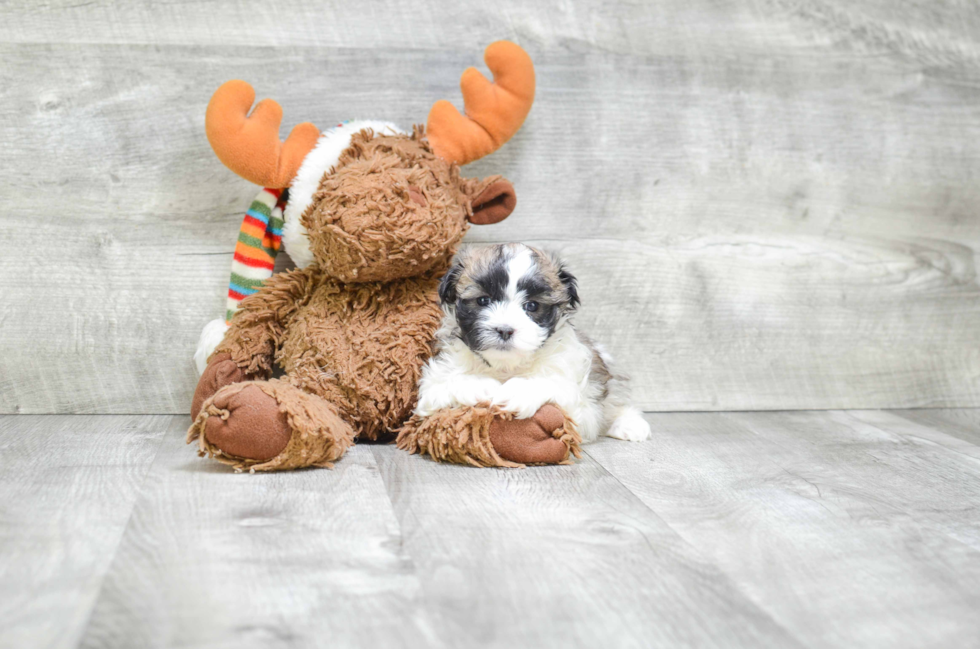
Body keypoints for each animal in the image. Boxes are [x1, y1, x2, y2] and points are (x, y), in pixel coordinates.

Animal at [414, 240, 652, 442]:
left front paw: (519, 390)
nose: (505, 330)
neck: (506, 366)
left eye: (532, 306)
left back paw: (629, 423)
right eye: (483, 300)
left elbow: (553, 384)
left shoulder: (579, 403)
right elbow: (444, 385)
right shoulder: (433, 385)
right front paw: (482, 386)